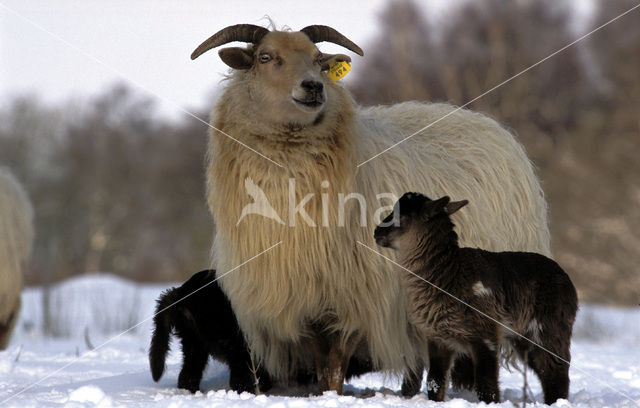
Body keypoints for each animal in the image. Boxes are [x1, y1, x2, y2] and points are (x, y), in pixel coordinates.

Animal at [191, 24, 552, 392]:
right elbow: (322, 361)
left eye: (318, 59)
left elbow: (335, 364)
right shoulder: (303, 299)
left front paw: (332, 394)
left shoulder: (355, 298)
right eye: (265, 57)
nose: (314, 87)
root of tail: (485, 121)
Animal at [372, 193, 576, 404]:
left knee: (555, 372)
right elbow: (435, 380)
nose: (376, 232)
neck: (449, 276)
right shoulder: (437, 337)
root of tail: (566, 279)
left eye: (402, 217)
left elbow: (487, 385)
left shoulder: (486, 335)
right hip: (523, 336)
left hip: (548, 329)